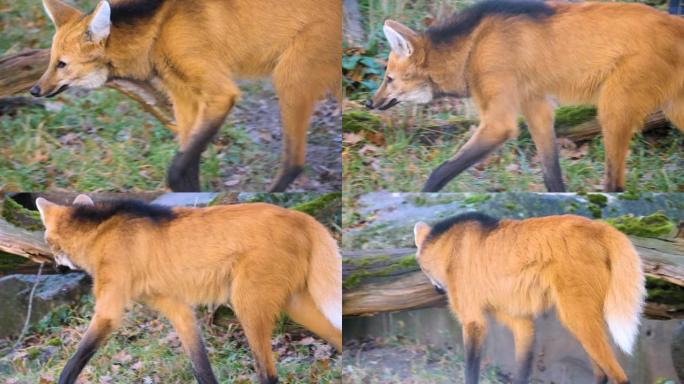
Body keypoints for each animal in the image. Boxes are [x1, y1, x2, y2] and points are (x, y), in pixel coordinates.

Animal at [32, 0, 342, 192]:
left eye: (62, 64)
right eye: (51, 62)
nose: (35, 89)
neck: (158, 29)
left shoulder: (220, 93)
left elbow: (178, 166)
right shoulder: (185, 98)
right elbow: (188, 158)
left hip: (289, 78)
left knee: (294, 163)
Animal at [36, 195, 340, 384]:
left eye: (49, 242)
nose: (55, 268)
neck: (99, 233)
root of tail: (301, 217)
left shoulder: (110, 308)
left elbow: (74, 362)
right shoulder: (177, 309)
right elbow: (201, 365)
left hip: (248, 303)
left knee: (269, 374)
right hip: (297, 303)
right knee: (336, 334)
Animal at [368, 0, 684, 192]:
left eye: (389, 79)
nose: (370, 102)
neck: (473, 46)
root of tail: (674, 23)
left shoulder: (500, 122)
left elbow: (438, 173)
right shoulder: (537, 108)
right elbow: (552, 175)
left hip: (613, 109)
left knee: (615, 184)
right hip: (673, 107)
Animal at [414, 213, 644, 384]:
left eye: (423, 269)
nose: (436, 290)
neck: (450, 248)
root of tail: (599, 227)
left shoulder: (473, 321)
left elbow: (471, 370)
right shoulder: (519, 320)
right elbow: (522, 366)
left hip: (577, 316)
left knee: (620, 376)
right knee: (602, 372)